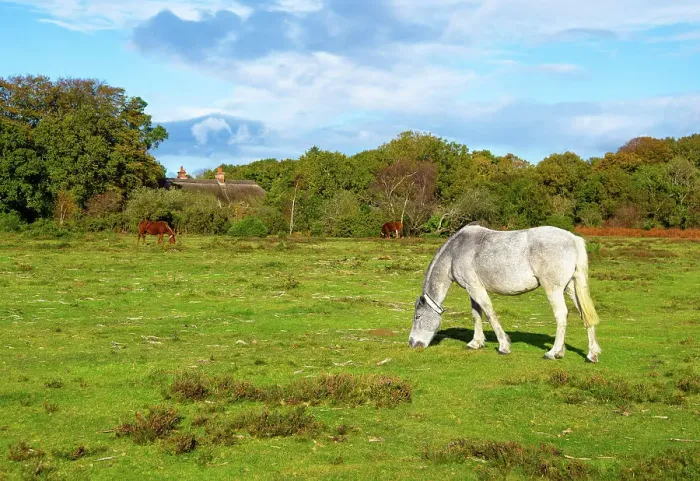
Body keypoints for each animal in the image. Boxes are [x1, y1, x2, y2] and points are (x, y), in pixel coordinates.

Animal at [408, 225, 602, 363]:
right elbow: (476, 315)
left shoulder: (476, 288)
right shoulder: (472, 290)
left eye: (417, 317)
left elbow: (489, 313)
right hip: (570, 288)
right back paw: (590, 354)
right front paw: (475, 343)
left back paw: (553, 352)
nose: (412, 343)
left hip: (553, 289)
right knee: (585, 315)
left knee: (561, 315)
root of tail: (573, 239)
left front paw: (503, 346)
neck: (456, 251)